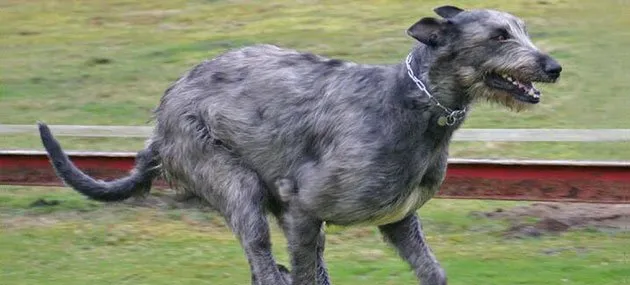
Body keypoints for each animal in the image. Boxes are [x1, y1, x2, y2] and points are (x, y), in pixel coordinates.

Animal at [38, 5, 564, 284]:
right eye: (499, 35)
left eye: (522, 29)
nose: (554, 66)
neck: (412, 103)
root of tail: (161, 121)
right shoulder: (305, 209)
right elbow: (305, 274)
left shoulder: (397, 220)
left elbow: (432, 272)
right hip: (231, 180)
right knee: (264, 261)